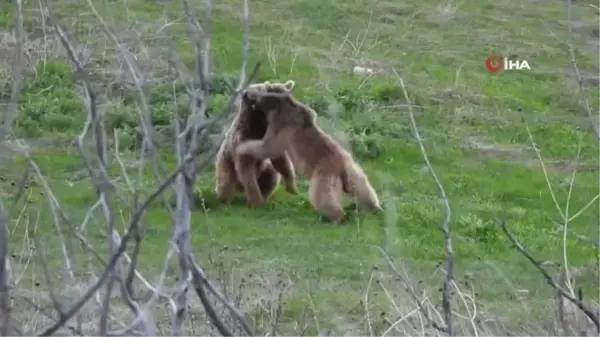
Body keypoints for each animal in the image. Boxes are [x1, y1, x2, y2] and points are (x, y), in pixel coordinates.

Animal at [236, 88, 382, 223]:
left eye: (257, 93)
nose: (246, 92)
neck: (281, 106)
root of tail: (342, 165)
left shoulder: (279, 126)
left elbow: (269, 147)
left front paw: (242, 147)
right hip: (355, 174)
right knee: (364, 190)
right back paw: (374, 208)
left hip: (323, 176)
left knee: (322, 196)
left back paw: (336, 218)